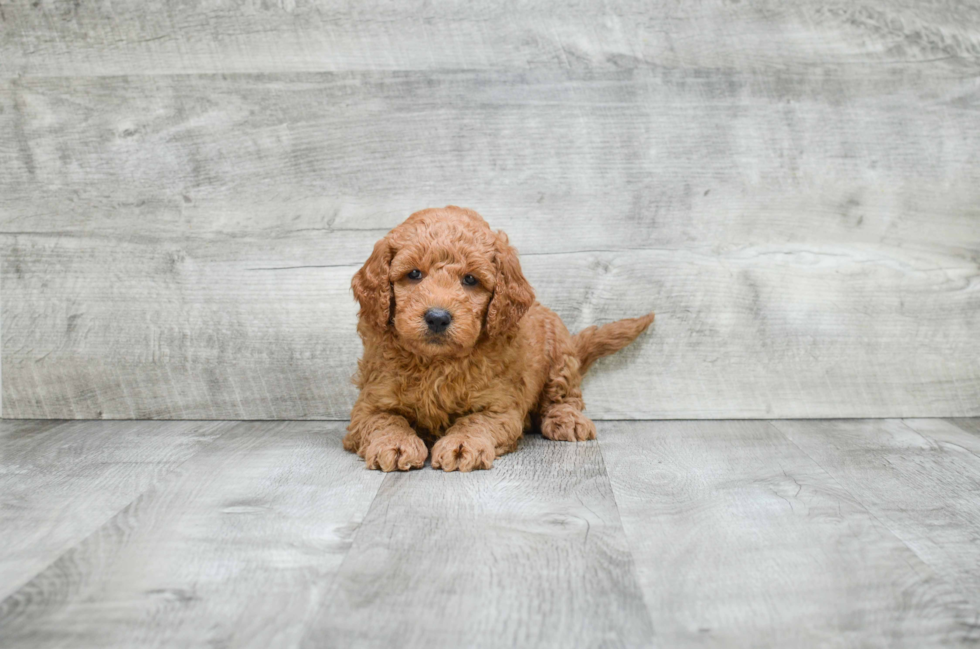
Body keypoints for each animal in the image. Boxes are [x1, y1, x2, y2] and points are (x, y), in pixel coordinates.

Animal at [340, 206, 656, 470]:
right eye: (414, 274)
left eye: (470, 279)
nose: (437, 317)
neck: (438, 363)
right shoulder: (370, 402)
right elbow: (385, 419)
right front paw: (395, 443)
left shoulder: (500, 406)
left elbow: (475, 421)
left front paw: (461, 445)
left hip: (560, 355)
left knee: (564, 397)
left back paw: (567, 419)